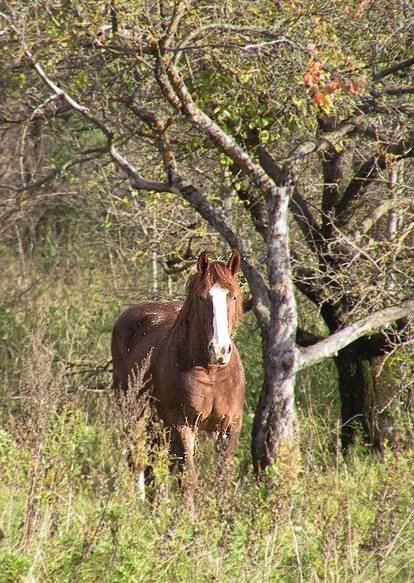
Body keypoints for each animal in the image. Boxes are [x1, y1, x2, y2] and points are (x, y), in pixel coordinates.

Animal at [111, 251, 244, 502]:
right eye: (202, 298)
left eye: (232, 296)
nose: (220, 350)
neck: (211, 373)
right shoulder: (183, 424)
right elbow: (187, 478)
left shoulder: (230, 425)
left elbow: (221, 477)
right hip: (136, 416)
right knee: (137, 460)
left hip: (157, 424)